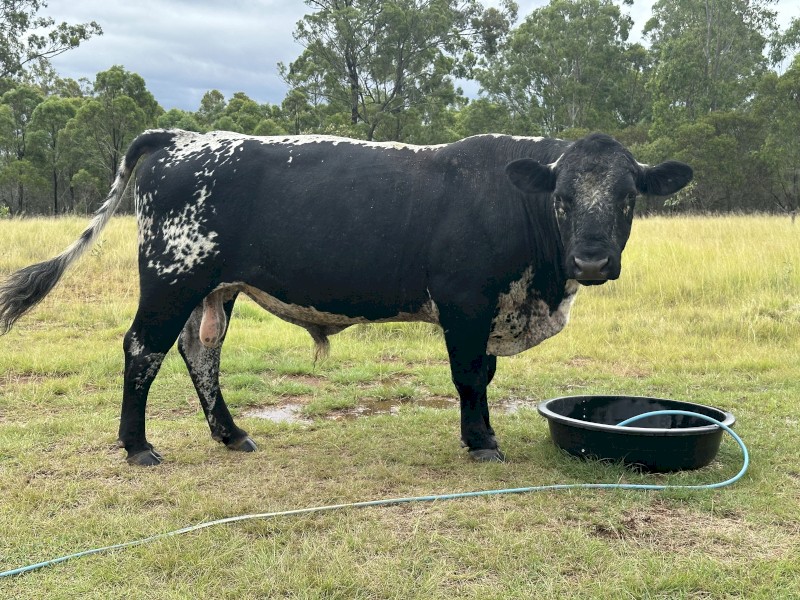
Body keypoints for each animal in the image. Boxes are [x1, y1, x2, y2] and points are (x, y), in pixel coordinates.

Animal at [0, 130, 692, 466]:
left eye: (628, 197)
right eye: (564, 199)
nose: (592, 261)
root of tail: (180, 137)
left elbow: (485, 375)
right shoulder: (466, 303)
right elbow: (472, 376)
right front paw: (482, 442)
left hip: (212, 288)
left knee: (200, 355)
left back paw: (231, 434)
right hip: (173, 276)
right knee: (142, 349)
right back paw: (138, 446)